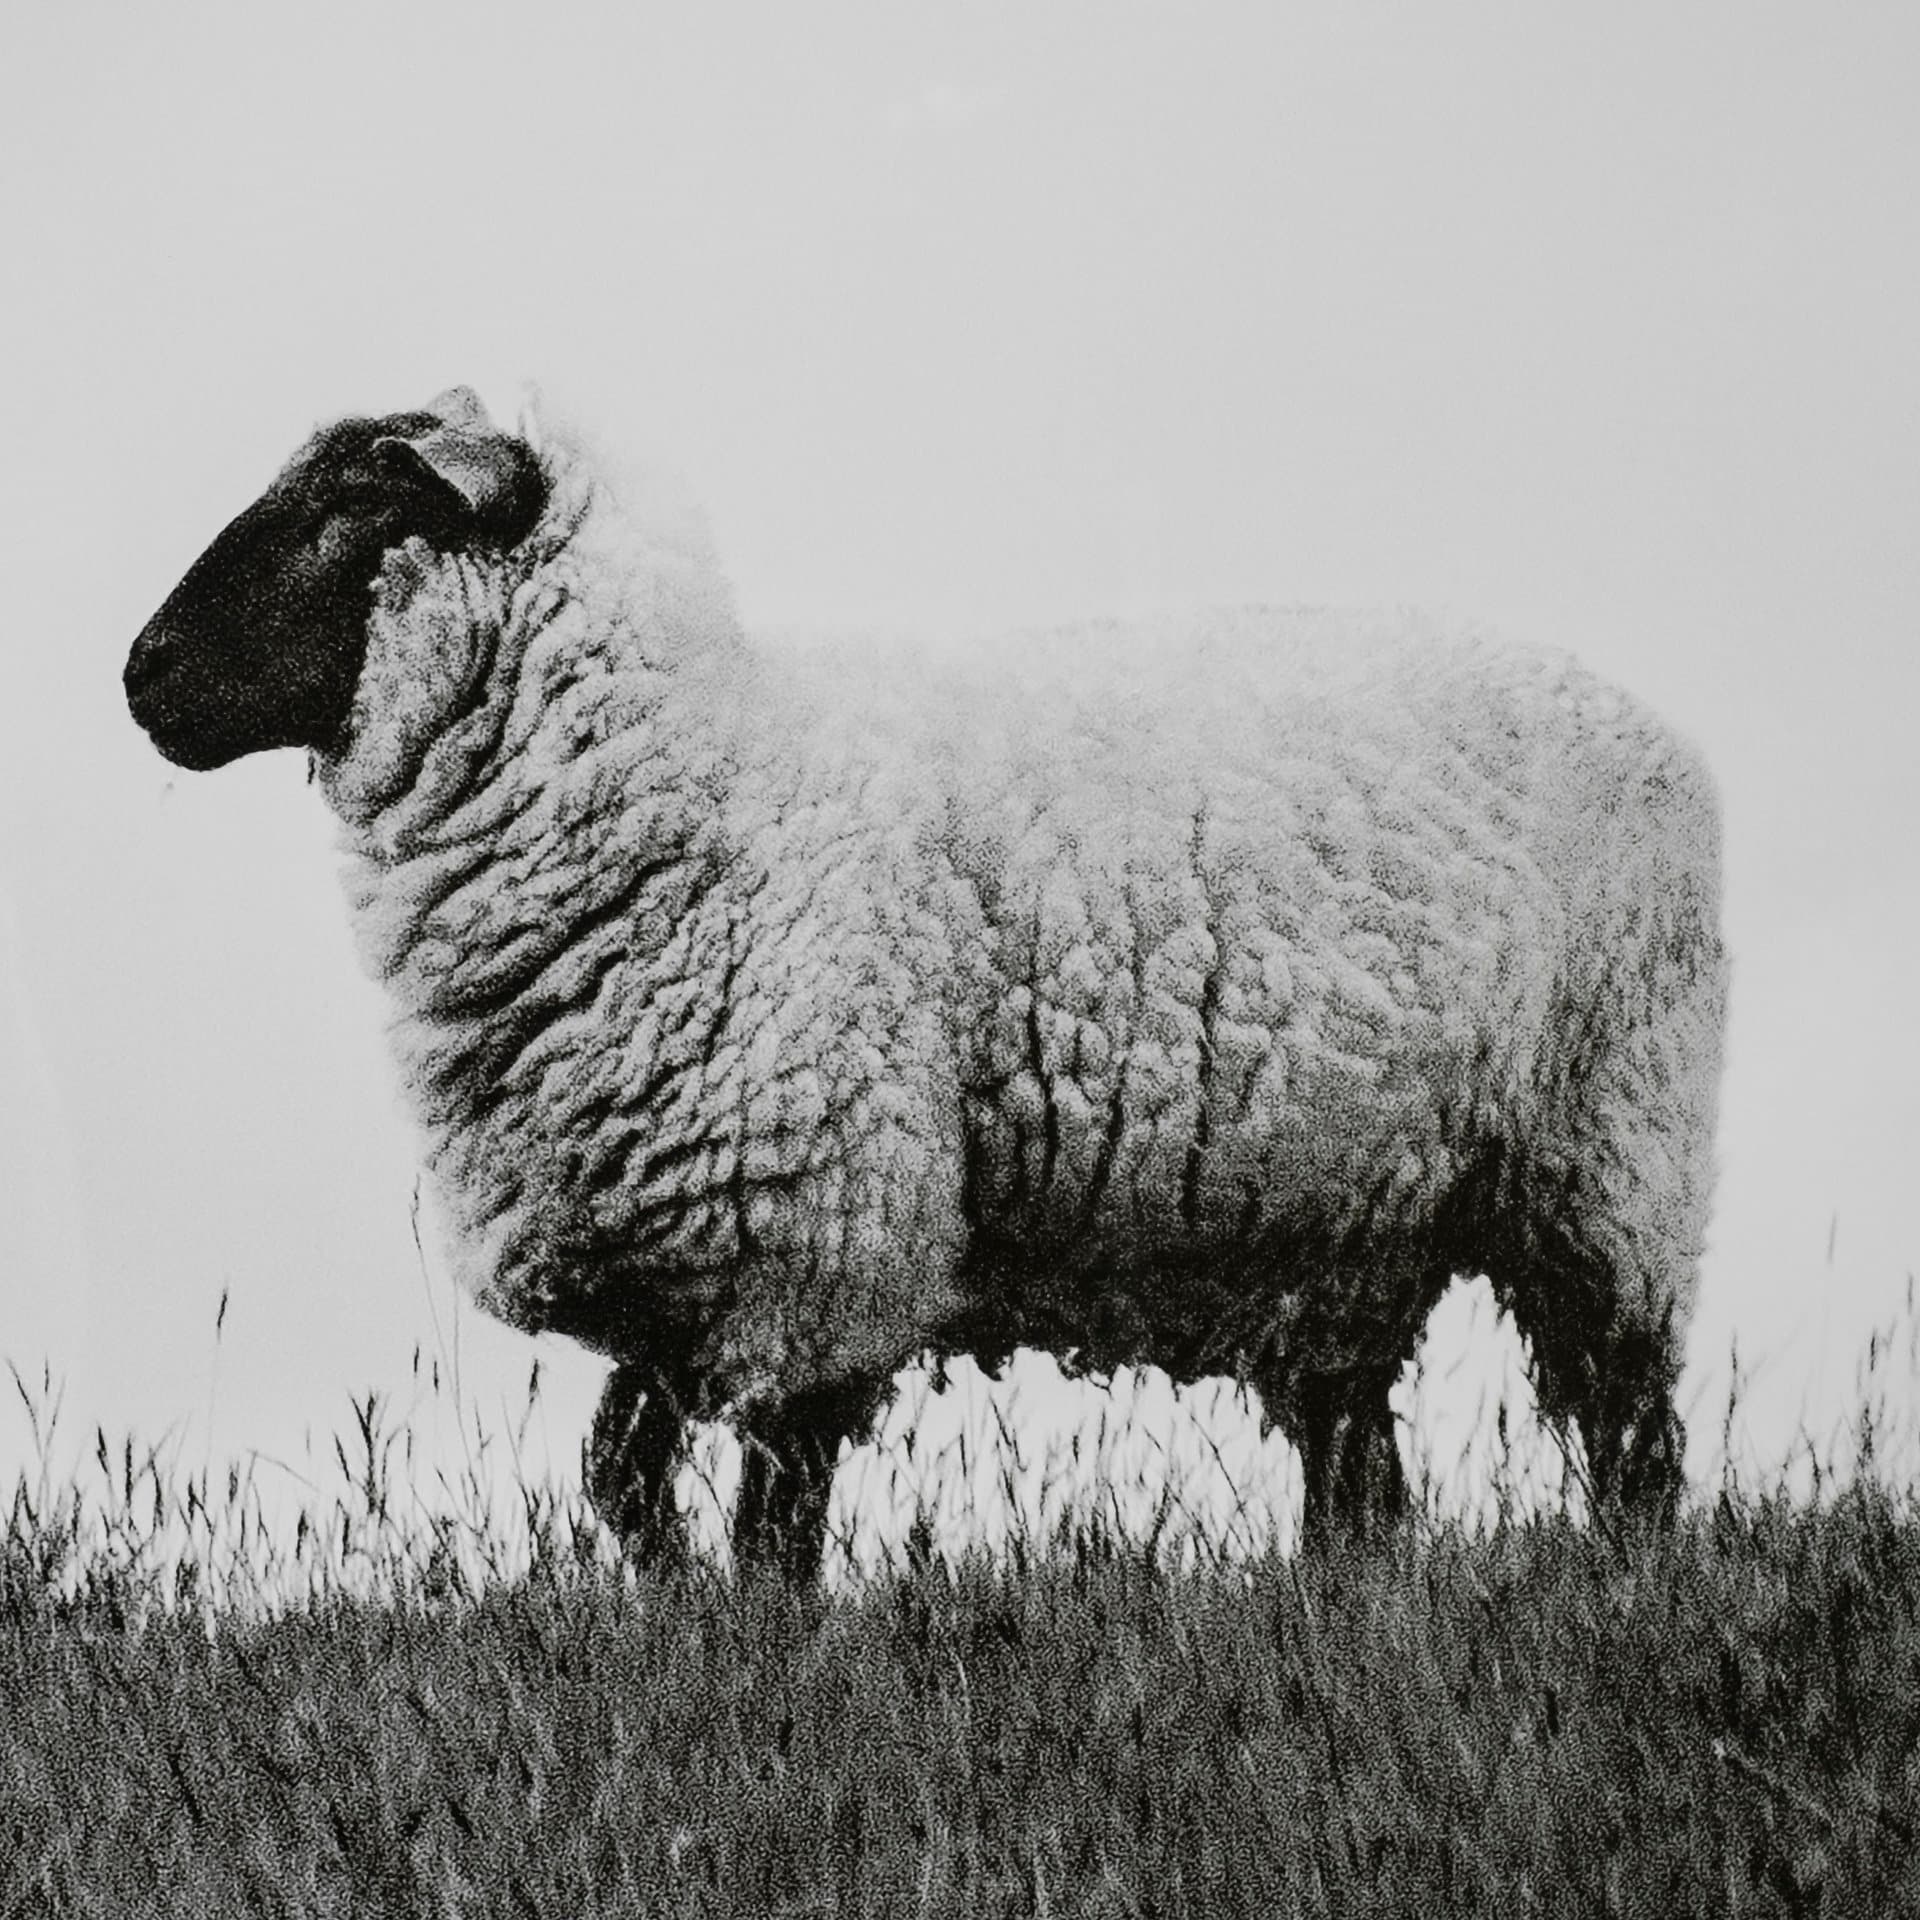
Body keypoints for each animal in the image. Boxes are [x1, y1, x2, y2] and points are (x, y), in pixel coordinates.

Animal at [124, 386, 1728, 1581]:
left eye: (355, 503)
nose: (139, 676)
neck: (708, 788)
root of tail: (1653, 722)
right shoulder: (682, 1262)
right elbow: (621, 1481)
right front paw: (671, 1615)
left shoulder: (822, 1242)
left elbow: (772, 1529)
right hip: (1340, 1225)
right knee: (1360, 1486)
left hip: (1607, 1161)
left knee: (1632, 1439)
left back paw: (1629, 1594)